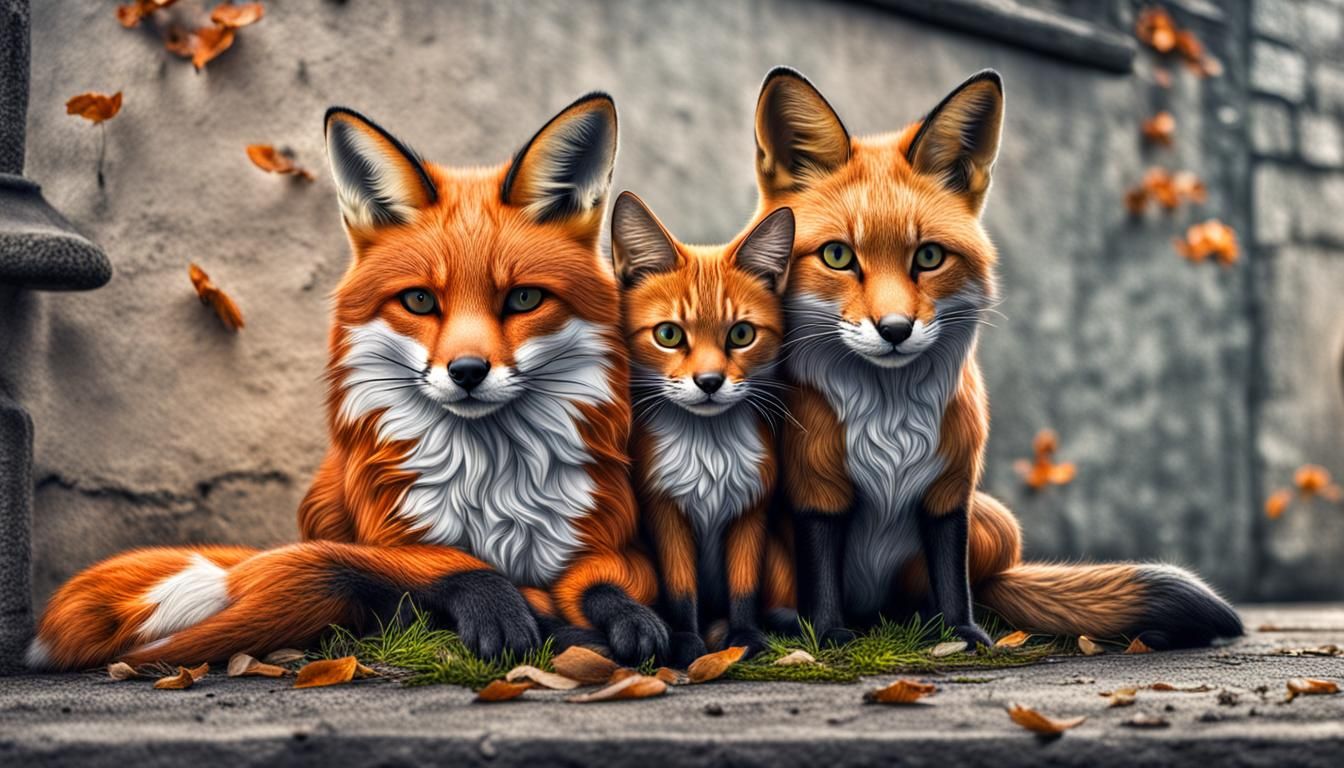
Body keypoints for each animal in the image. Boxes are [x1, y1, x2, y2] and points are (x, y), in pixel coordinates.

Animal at [29, 94, 671, 670]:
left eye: (523, 299)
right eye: (419, 301)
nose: (466, 373)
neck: (491, 488)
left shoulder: (610, 538)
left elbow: (608, 586)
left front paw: (629, 620)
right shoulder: (385, 537)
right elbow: (439, 571)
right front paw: (505, 610)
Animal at [610, 192, 796, 665]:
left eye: (742, 334)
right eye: (669, 335)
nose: (709, 382)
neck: (710, 460)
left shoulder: (751, 511)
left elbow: (744, 589)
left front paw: (744, 638)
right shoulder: (666, 512)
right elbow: (681, 592)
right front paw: (686, 643)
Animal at [753, 67, 1243, 649]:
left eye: (929, 256)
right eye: (837, 256)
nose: (895, 330)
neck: (888, 424)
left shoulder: (952, 489)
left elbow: (952, 574)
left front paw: (960, 633)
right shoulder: (816, 488)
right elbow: (823, 575)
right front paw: (828, 636)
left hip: (999, 524)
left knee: (973, 586)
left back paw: (916, 621)